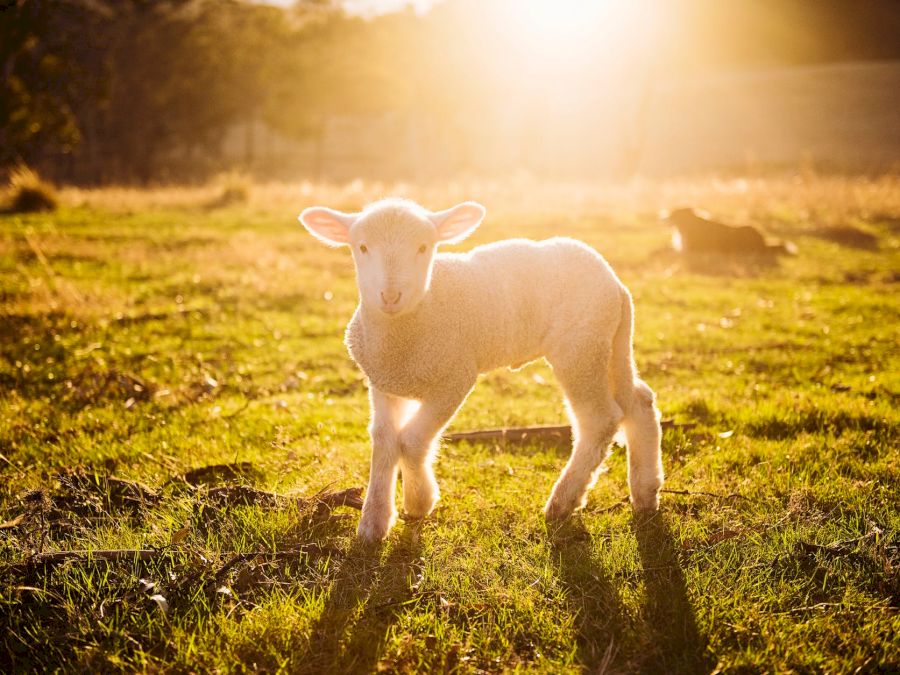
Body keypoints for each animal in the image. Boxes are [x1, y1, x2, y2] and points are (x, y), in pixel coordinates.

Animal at [298, 198, 664, 540]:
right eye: (361, 247)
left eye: (423, 247)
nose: (390, 296)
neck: (410, 324)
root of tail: (615, 282)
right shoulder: (383, 382)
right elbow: (385, 440)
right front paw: (374, 522)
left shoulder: (455, 378)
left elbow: (412, 440)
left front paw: (419, 501)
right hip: (611, 343)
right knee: (639, 402)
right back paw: (646, 492)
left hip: (580, 348)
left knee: (599, 420)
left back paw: (563, 501)